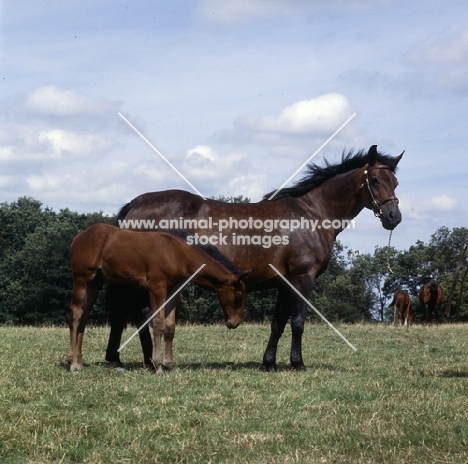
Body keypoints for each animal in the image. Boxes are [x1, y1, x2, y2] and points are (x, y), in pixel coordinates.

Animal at [67, 223, 249, 372]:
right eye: (238, 296)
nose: (235, 323)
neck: (177, 253)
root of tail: (78, 237)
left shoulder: (174, 290)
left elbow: (170, 326)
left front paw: (169, 364)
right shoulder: (156, 288)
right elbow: (158, 323)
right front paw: (157, 365)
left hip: (95, 283)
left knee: (84, 314)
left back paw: (80, 362)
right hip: (82, 278)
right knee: (76, 312)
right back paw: (73, 364)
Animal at [109, 144, 402, 370]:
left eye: (396, 182)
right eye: (375, 180)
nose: (394, 217)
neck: (312, 214)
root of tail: (135, 204)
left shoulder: (284, 281)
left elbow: (278, 323)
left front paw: (269, 362)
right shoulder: (302, 278)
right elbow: (298, 322)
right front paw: (298, 363)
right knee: (138, 314)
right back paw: (146, 361)